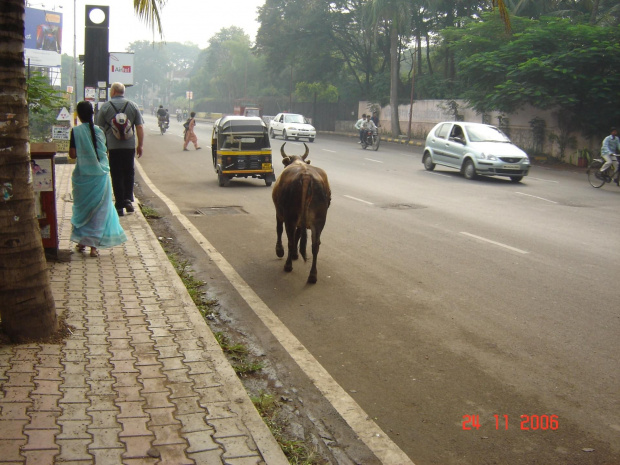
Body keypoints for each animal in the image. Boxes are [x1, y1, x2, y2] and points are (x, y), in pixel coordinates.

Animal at [272, 142, 330, 282]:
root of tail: (306, 176)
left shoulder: (279, 213)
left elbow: (279, 230)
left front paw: (279, 250)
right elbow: (299, 234)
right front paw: (295, 254)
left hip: (290, 217)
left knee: (290, 240)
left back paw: (288, 265)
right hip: (319, 220)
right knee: (315, 245)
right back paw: (313, 275)